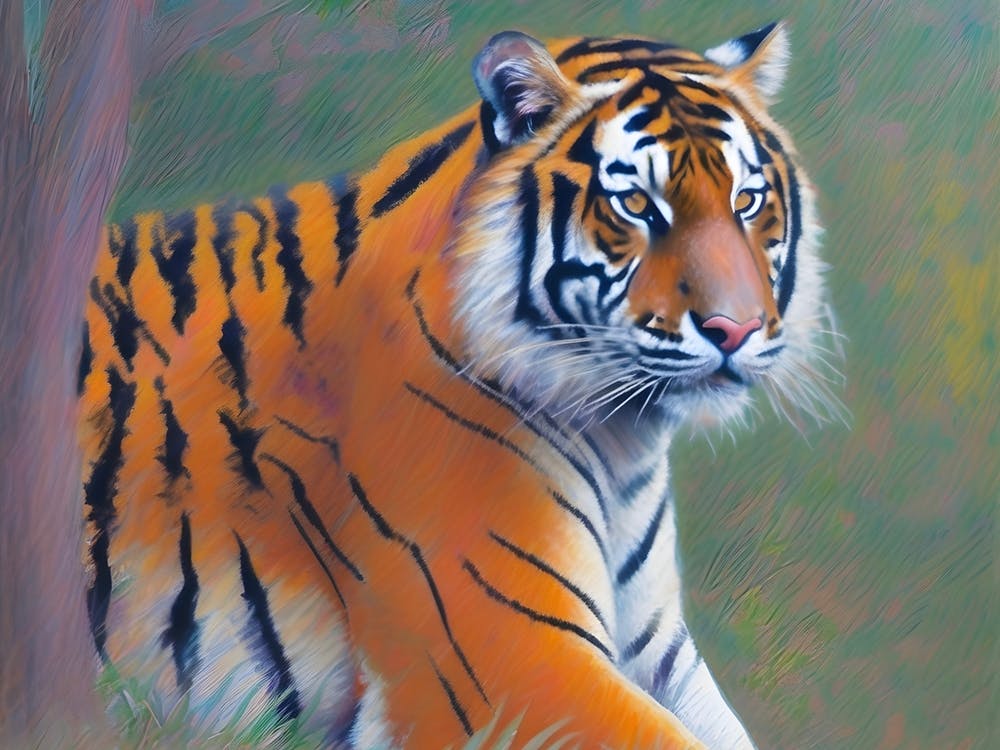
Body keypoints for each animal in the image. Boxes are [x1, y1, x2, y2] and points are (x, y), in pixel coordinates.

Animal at [78, 21, 827, 750]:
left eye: (747, 201)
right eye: (638, 206)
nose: (736, 328)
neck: (624, 438)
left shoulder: (658, 651)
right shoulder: (515, 658)